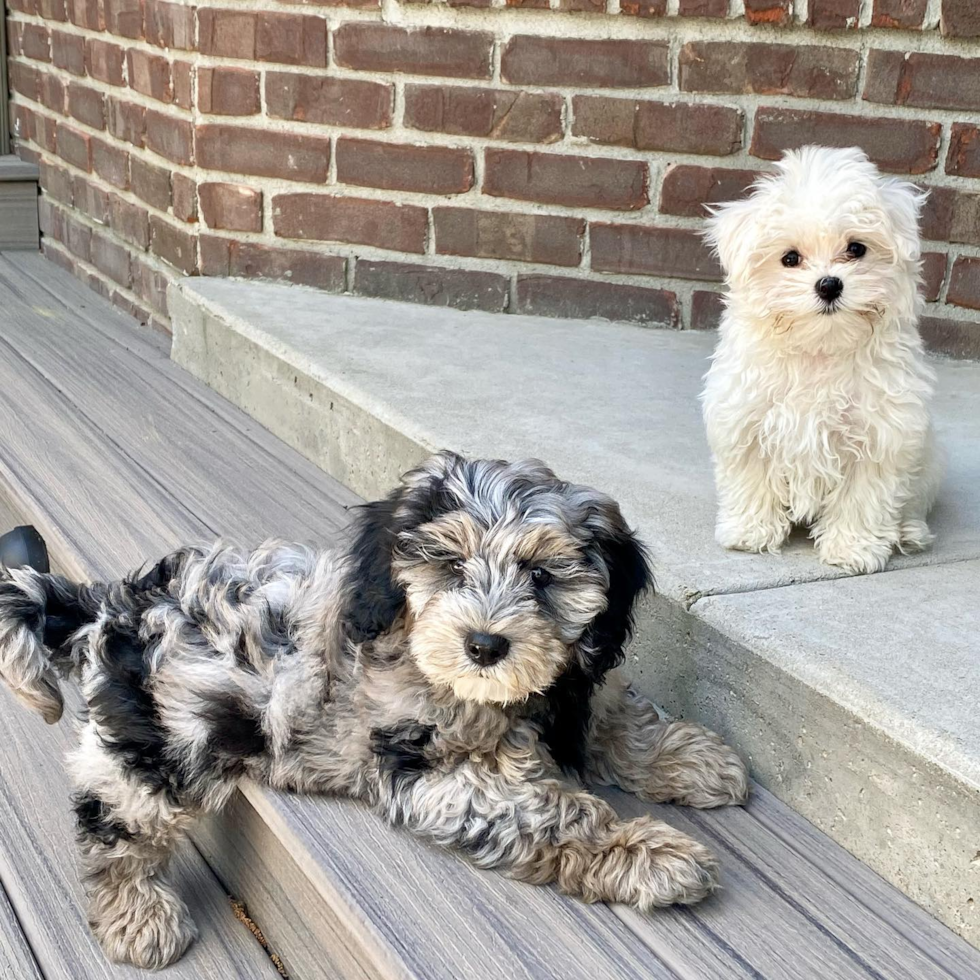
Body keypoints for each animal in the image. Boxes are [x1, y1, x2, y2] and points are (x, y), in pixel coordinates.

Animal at [1, 452, 752, 964]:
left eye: (542, 576)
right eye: (450, 567)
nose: (485, 645)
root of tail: (117, 607)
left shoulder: (573, 690)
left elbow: (616, 719)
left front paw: (694, 759)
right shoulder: (428, 774)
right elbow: (552, 813)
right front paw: (651, 853)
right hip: (165, 738)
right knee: (115, 820)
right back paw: (137, 914)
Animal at [700, 146, 936, 576]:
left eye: (856, 248)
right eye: (790, 258)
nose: (829, 284)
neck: (820, 348)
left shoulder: (882, 436)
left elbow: (863, 497)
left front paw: (853, 549)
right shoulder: (747, 420)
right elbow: (751, 478)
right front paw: (750, 532)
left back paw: (908, 532)